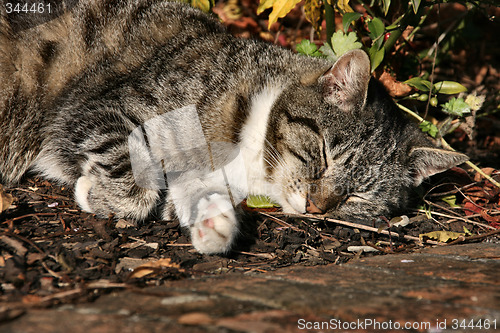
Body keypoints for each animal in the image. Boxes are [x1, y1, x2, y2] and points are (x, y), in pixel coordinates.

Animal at [0, 0, 468, 253]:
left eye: (359, 196)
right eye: (323, 156)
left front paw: (212, 222)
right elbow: (132, 175)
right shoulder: (101, 109)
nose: (316, 206)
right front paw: (100, 195)